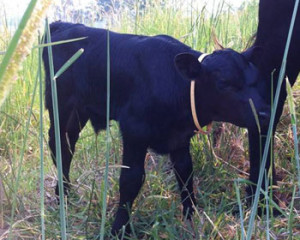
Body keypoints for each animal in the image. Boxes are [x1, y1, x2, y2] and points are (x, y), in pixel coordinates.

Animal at [43, 21, 270, 235]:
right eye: (224, 83)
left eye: (257, 78)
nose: (265, 113)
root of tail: (62, 25)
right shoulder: (134, 131)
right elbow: (130, 180)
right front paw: (118, 229)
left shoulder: (180, 138)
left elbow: (185, 173)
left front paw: (191, 217)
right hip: (60, 104)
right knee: (59, 145)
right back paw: (63, 197)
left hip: (78, 112)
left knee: (68, 144)